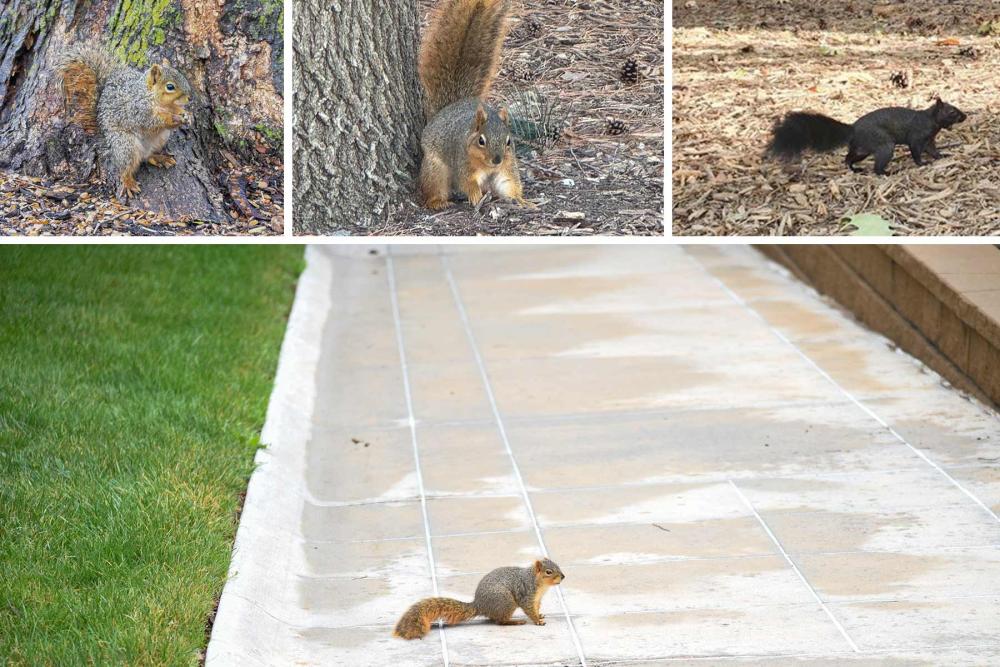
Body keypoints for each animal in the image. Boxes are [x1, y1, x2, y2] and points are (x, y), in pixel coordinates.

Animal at [56, 44, 193, 201]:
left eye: (182, 76)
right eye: (170, 87)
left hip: (159, 140)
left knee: (147, 156)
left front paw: (186, 115)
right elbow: (151, 122)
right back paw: (128, 183)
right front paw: (173, 119)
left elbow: (176, 109)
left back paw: (159, 157)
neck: (149, 95)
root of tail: (108, 142)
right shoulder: (137, 110)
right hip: (126, 145)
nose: (190, 97)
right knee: (125, 168)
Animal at [393, 559, 565, 640]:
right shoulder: (526, 594)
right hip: (506, 602)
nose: (563, 576)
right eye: (549, 572)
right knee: (500, 621)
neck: (540, 585)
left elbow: (536, 608)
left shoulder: (537, 599)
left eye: (558, 565)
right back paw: (515, 621)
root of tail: (480, 605)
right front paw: (537, 621)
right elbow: (529, 610)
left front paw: (540, 615)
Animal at [417, 0, 530, 210]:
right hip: (435, 168)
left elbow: (508, 182)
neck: (486, 165)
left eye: (508, 141)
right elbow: (466, 182)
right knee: (434, 185)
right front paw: (475, 195)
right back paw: (438, 202)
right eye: (481, 141)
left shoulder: (507, 165)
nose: (497, 159)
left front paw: (521, 200)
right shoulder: (462, 162)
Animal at [766, 99, 967, 175]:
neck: (931, 121)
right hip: (884, 145)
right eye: (952, 111)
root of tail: (853, 128)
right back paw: (886, 172)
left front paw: (942, 156)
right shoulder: (917, 137)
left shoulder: (929, 140)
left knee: (849, 157)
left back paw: (855, 169)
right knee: (876, 168)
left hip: (862, 149)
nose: (964, 116)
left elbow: (933, 150)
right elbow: (916, 151)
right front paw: (922, 163)